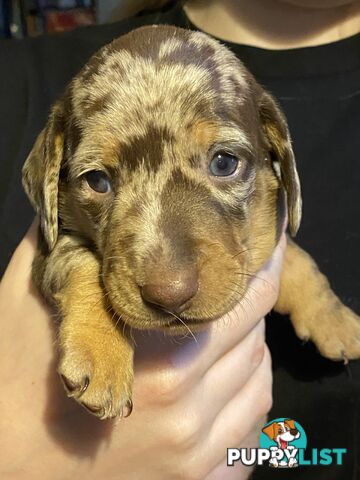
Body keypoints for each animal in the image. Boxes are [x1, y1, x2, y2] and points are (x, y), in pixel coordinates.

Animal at [21, 24, 360, 418]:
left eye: (224, 162)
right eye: (97, 181)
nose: (170, 295)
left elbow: (296, 255)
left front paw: (334, 320)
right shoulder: (48, 245)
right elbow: (81, 262)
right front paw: (101, 354)